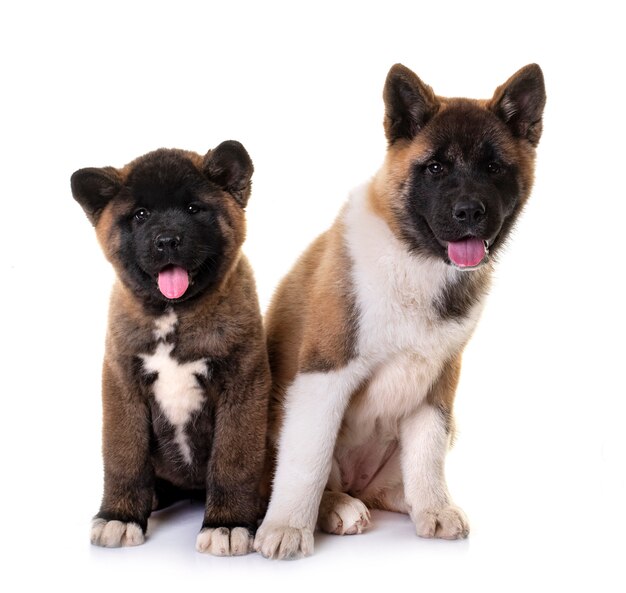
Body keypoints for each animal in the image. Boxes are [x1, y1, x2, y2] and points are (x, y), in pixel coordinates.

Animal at [70, 140, 268, 556]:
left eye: (193, 209)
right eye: (141, 215)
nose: (167, 241)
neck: (174, 314)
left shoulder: (243, 386)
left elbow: (234, 462)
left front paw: (228, 524)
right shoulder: (122, 385)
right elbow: (123, 458)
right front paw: (120, 515)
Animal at [256, 65, 544, 560]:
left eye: (493, 168)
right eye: (435, 168)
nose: (469, 212)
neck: (416, 260)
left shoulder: (439, 382)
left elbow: (427, 453)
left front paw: (433, 508)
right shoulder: (324, 373)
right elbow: (306, 461)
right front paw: (288, 527)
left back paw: (403, 499)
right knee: (322, 473)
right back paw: (335, 506)